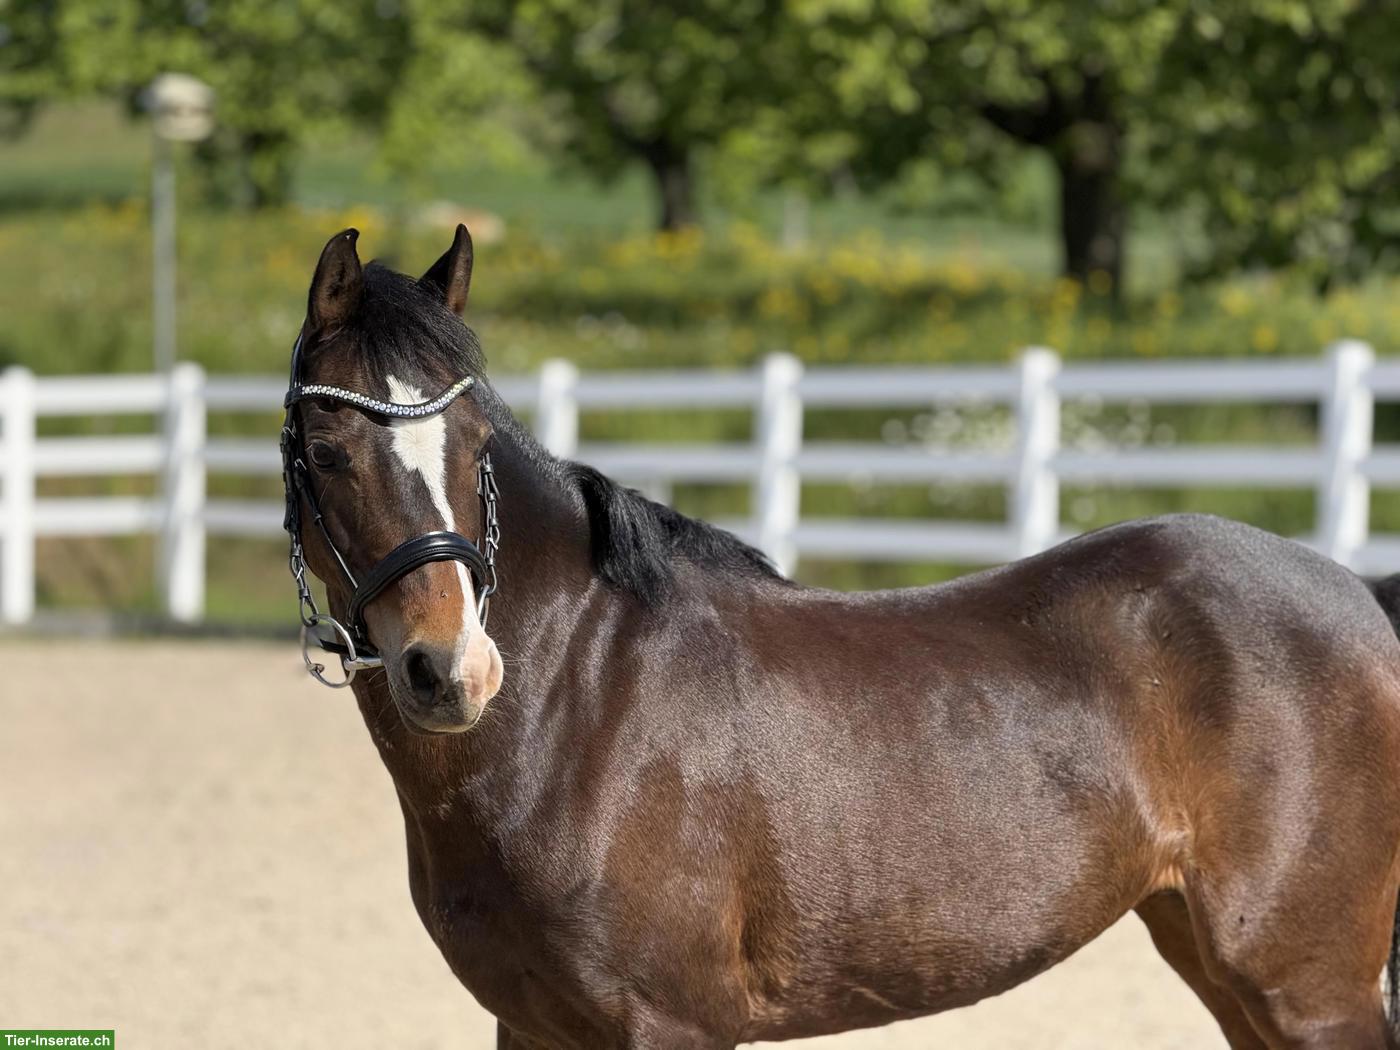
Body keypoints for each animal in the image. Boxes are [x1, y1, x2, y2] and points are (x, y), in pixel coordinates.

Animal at [280, 225, 1400, 1050]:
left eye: (473, 444)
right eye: (326, 449)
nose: (452, 670)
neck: (579, 702)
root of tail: (1354, 595)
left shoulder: (668, 1027)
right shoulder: (534, 1028)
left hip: (1308, 986)